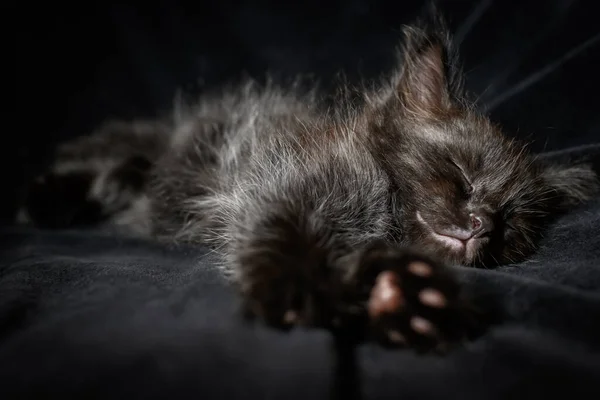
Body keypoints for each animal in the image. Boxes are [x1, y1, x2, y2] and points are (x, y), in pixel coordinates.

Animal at [18, 13, 596, 350]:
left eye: (510, 222)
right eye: (461, 174)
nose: (480, 222)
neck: (377, 212)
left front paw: (397, 296)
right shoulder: (279, 181)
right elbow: (281, 231)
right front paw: (294, 288)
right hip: (152, 144)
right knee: (107, 151)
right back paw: (49, 200)